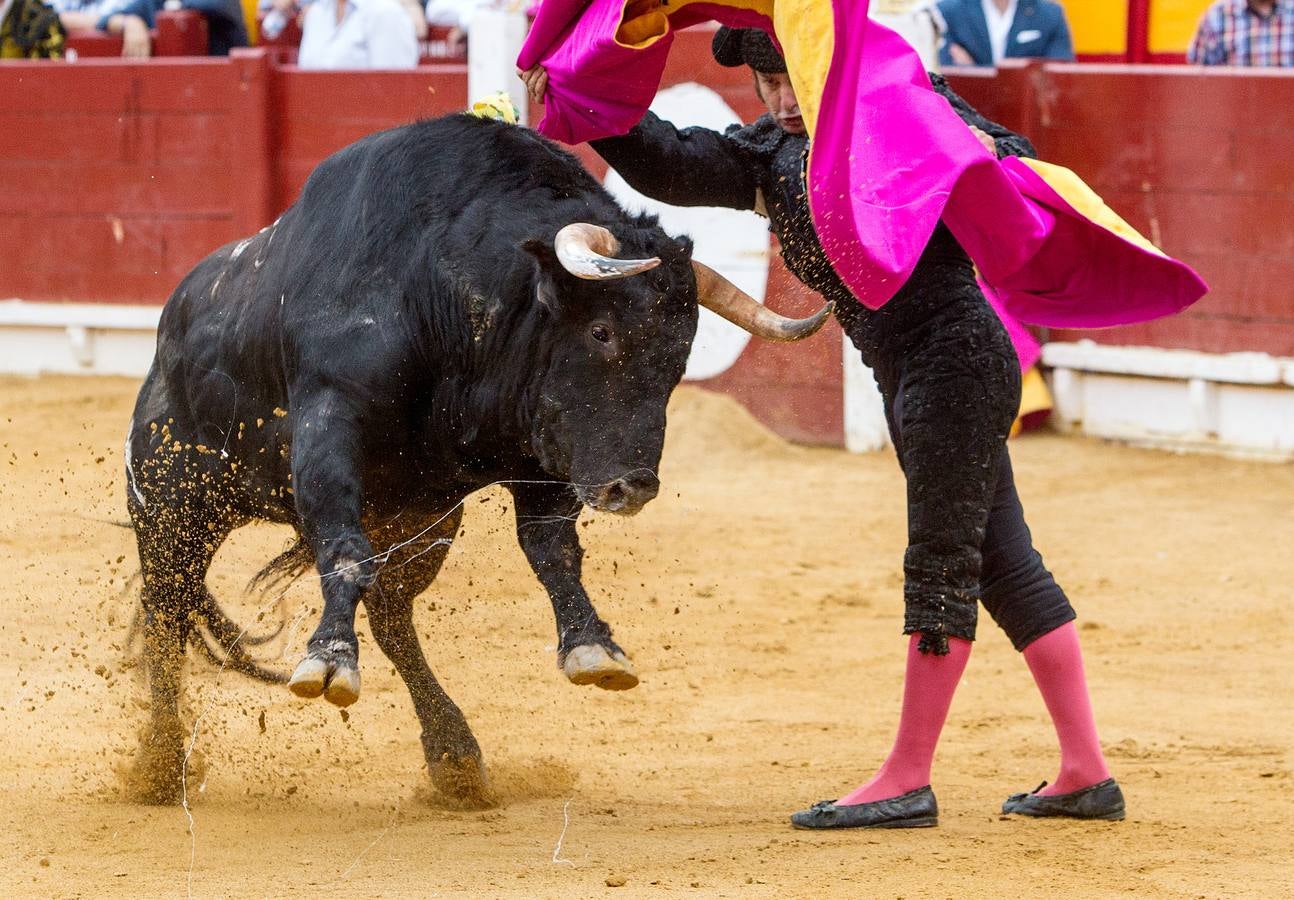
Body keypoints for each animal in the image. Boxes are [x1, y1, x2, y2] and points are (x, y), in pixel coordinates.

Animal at [126, 114, 822, 806]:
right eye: (601, 332)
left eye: (682, 354)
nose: (632, 487)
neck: (449, 299)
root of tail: (171, 327)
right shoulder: (330, 424)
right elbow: (343, 549)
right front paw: (327, 658)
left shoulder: (541, 455)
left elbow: (551, 551)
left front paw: (593, 647)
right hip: (172, 505)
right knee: (167, 613)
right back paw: (160, 764)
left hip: (415, 522)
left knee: (392, 617)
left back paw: (453, 754)